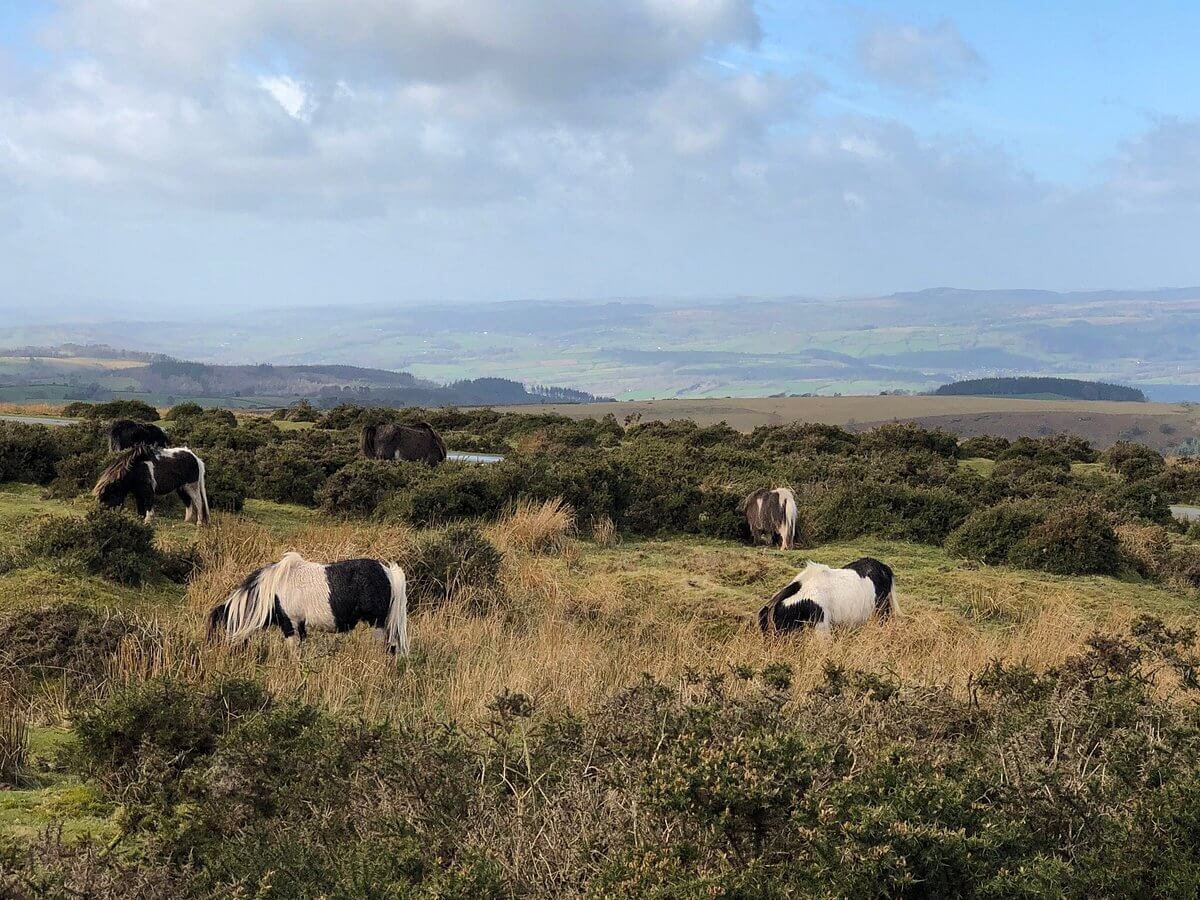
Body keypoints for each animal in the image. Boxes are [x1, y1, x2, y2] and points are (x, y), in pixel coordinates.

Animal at [208, 554, 410, 657]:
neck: (272, 590)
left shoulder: (290, 624)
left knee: (385, 648)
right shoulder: (300, 624)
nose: (214, 653)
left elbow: (294, 651)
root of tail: (387, 571)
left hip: (378, 623)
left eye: (219, 629)